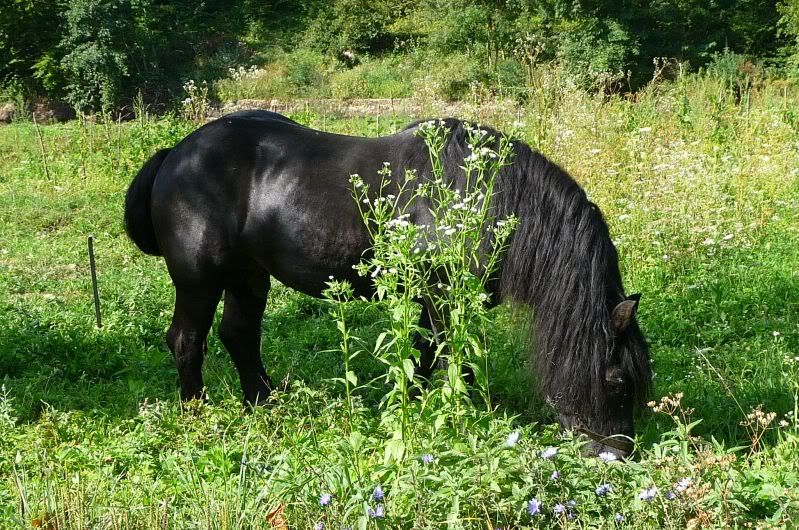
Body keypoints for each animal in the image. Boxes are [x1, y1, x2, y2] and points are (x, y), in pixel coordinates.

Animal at [123, 110, 648, 454]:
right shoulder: (441, 299)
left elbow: (423, 359)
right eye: (617, 380)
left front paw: (414, 411)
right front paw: (462, 419)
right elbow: (448, 360)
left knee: (239, 335)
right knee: (187, 340)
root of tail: (176, 154)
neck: (482, 191)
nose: (620, 455)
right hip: (199, 280)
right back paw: (197, 414)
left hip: (248, 276)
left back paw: (264, 404)